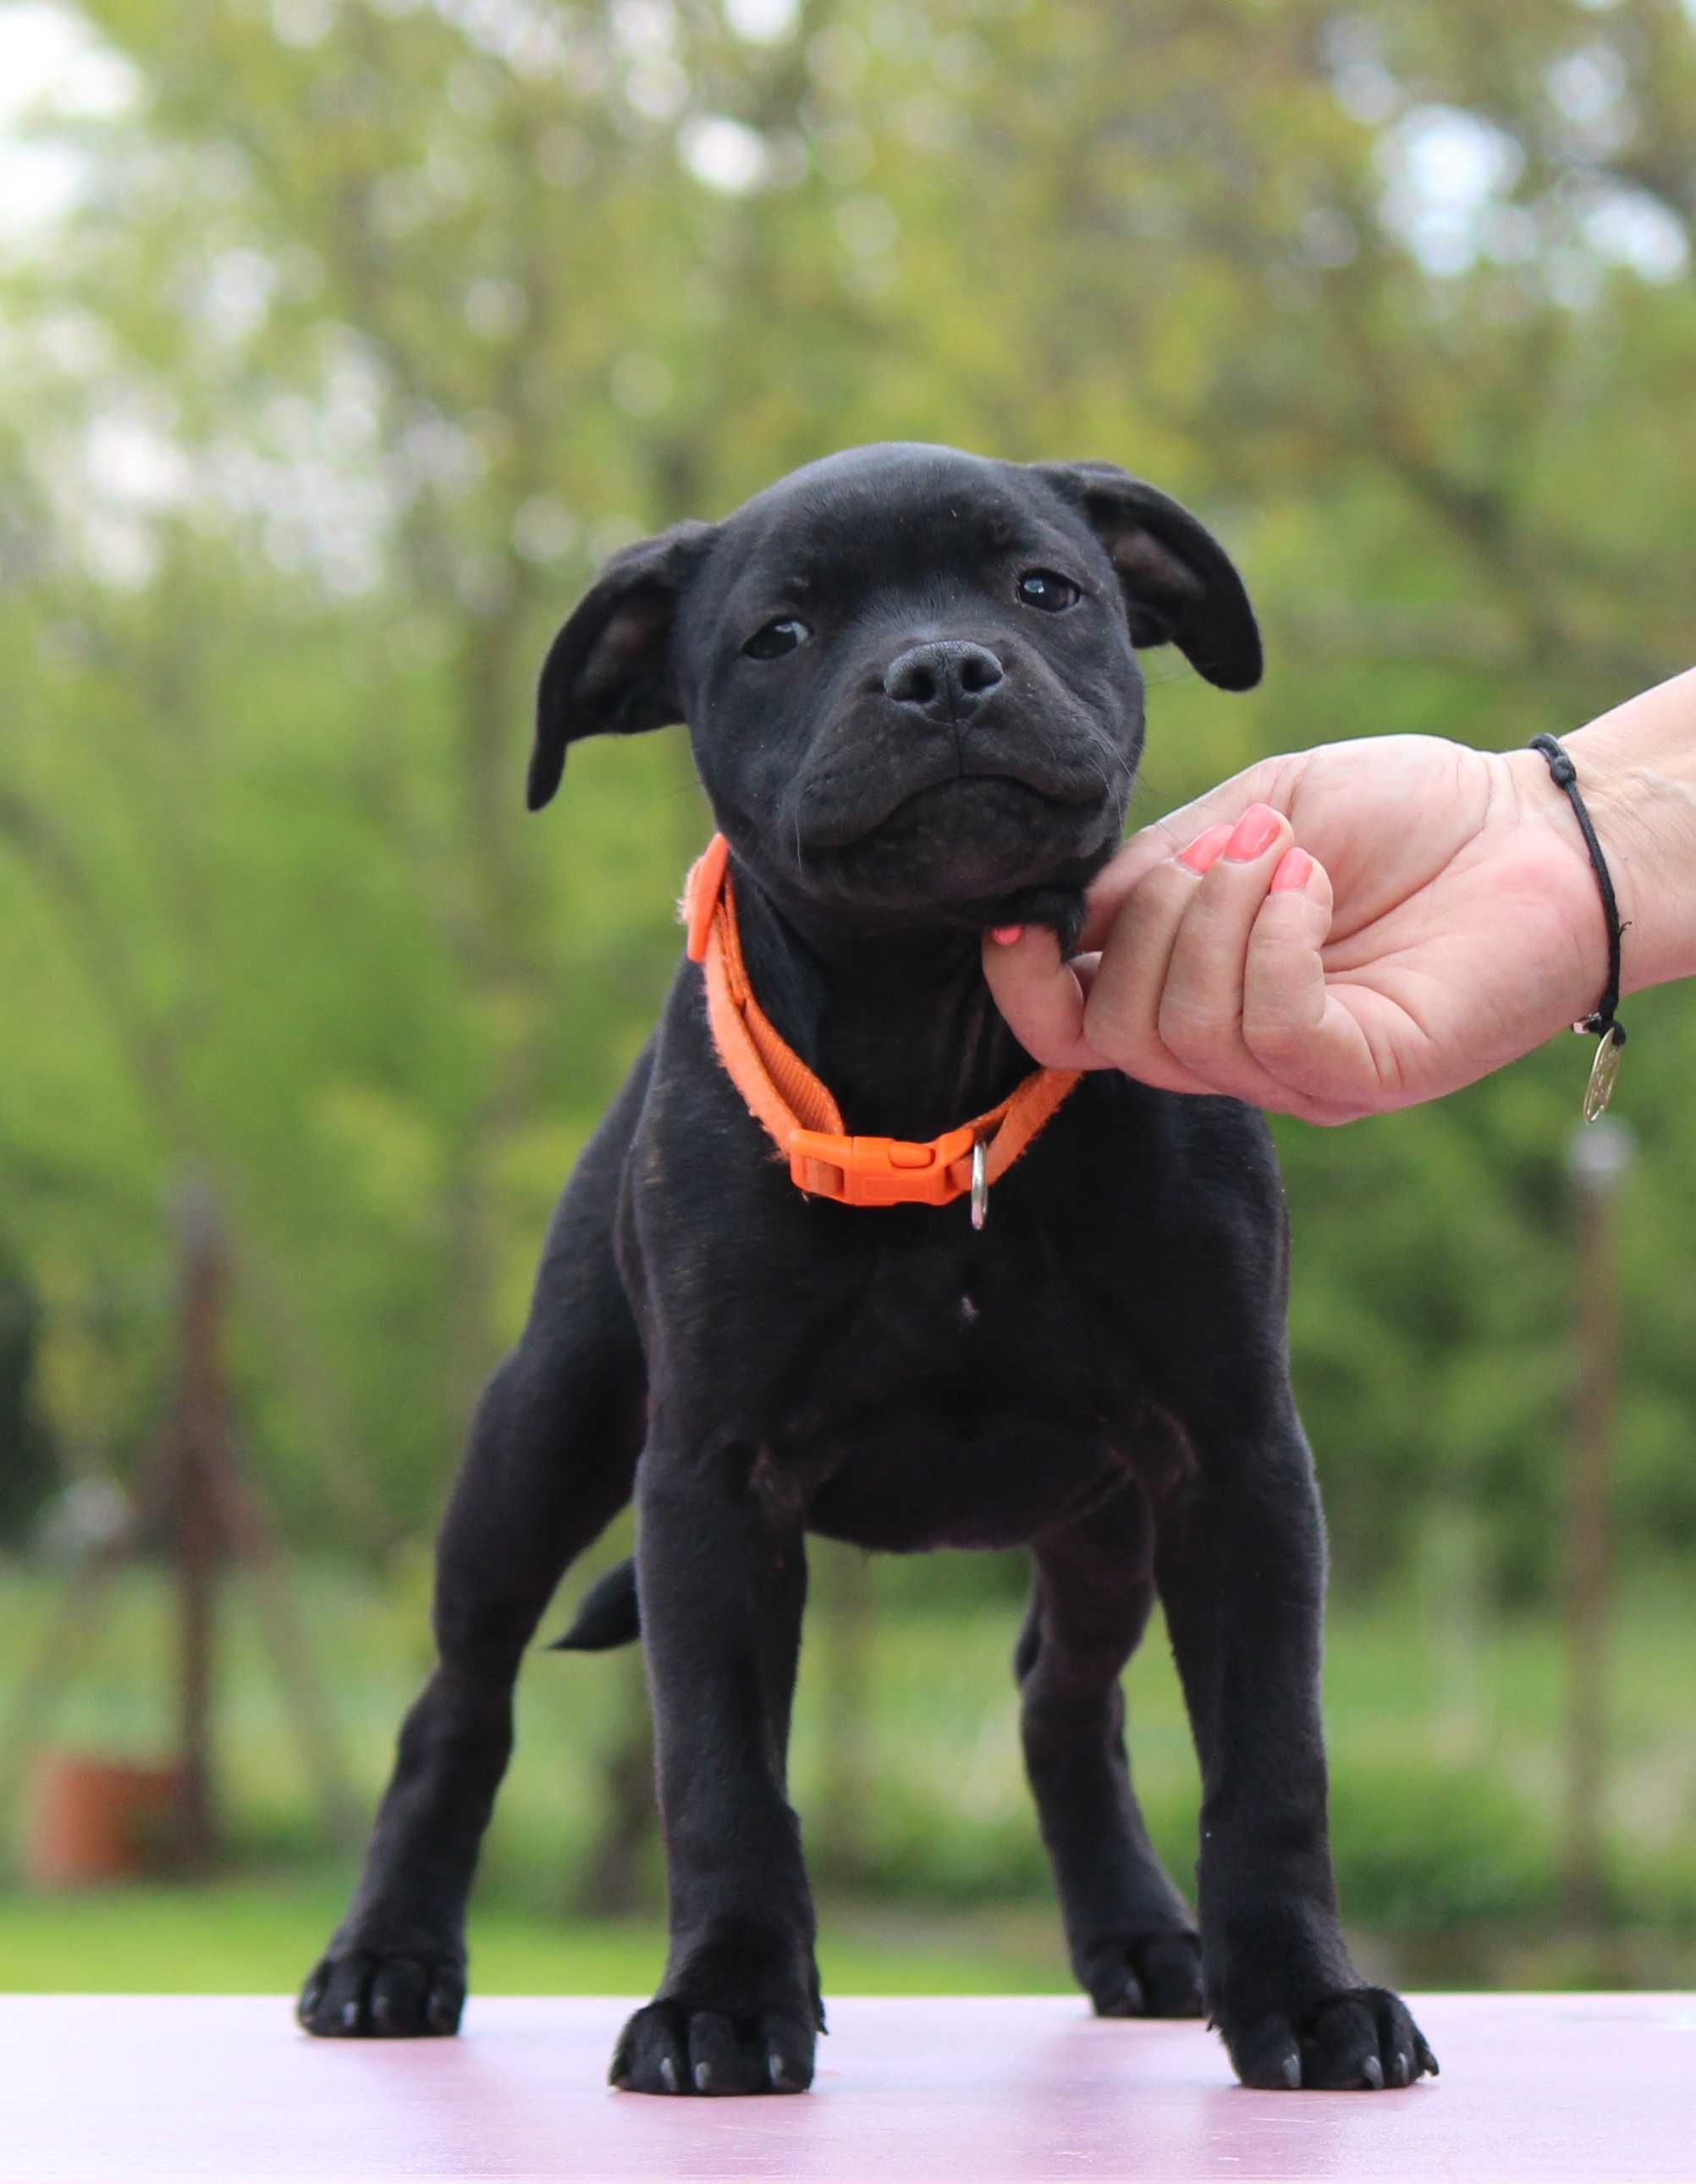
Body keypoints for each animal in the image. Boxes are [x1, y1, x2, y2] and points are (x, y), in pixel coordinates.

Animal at [296, 443, 1431, 2096]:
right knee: (459, 1702)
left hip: (1107, 1521)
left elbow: (1272, 1758)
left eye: (1044, 587)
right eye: (777, 635)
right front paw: (722, 2001)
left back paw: (1145, 1938)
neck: (931, 1029)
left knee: (1062, 1701)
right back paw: (387, 1957)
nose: (941, 671)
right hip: (540, 1437)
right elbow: (717, 1775)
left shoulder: (1234, 1457)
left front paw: (1302, 1992)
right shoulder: (708, 1481)